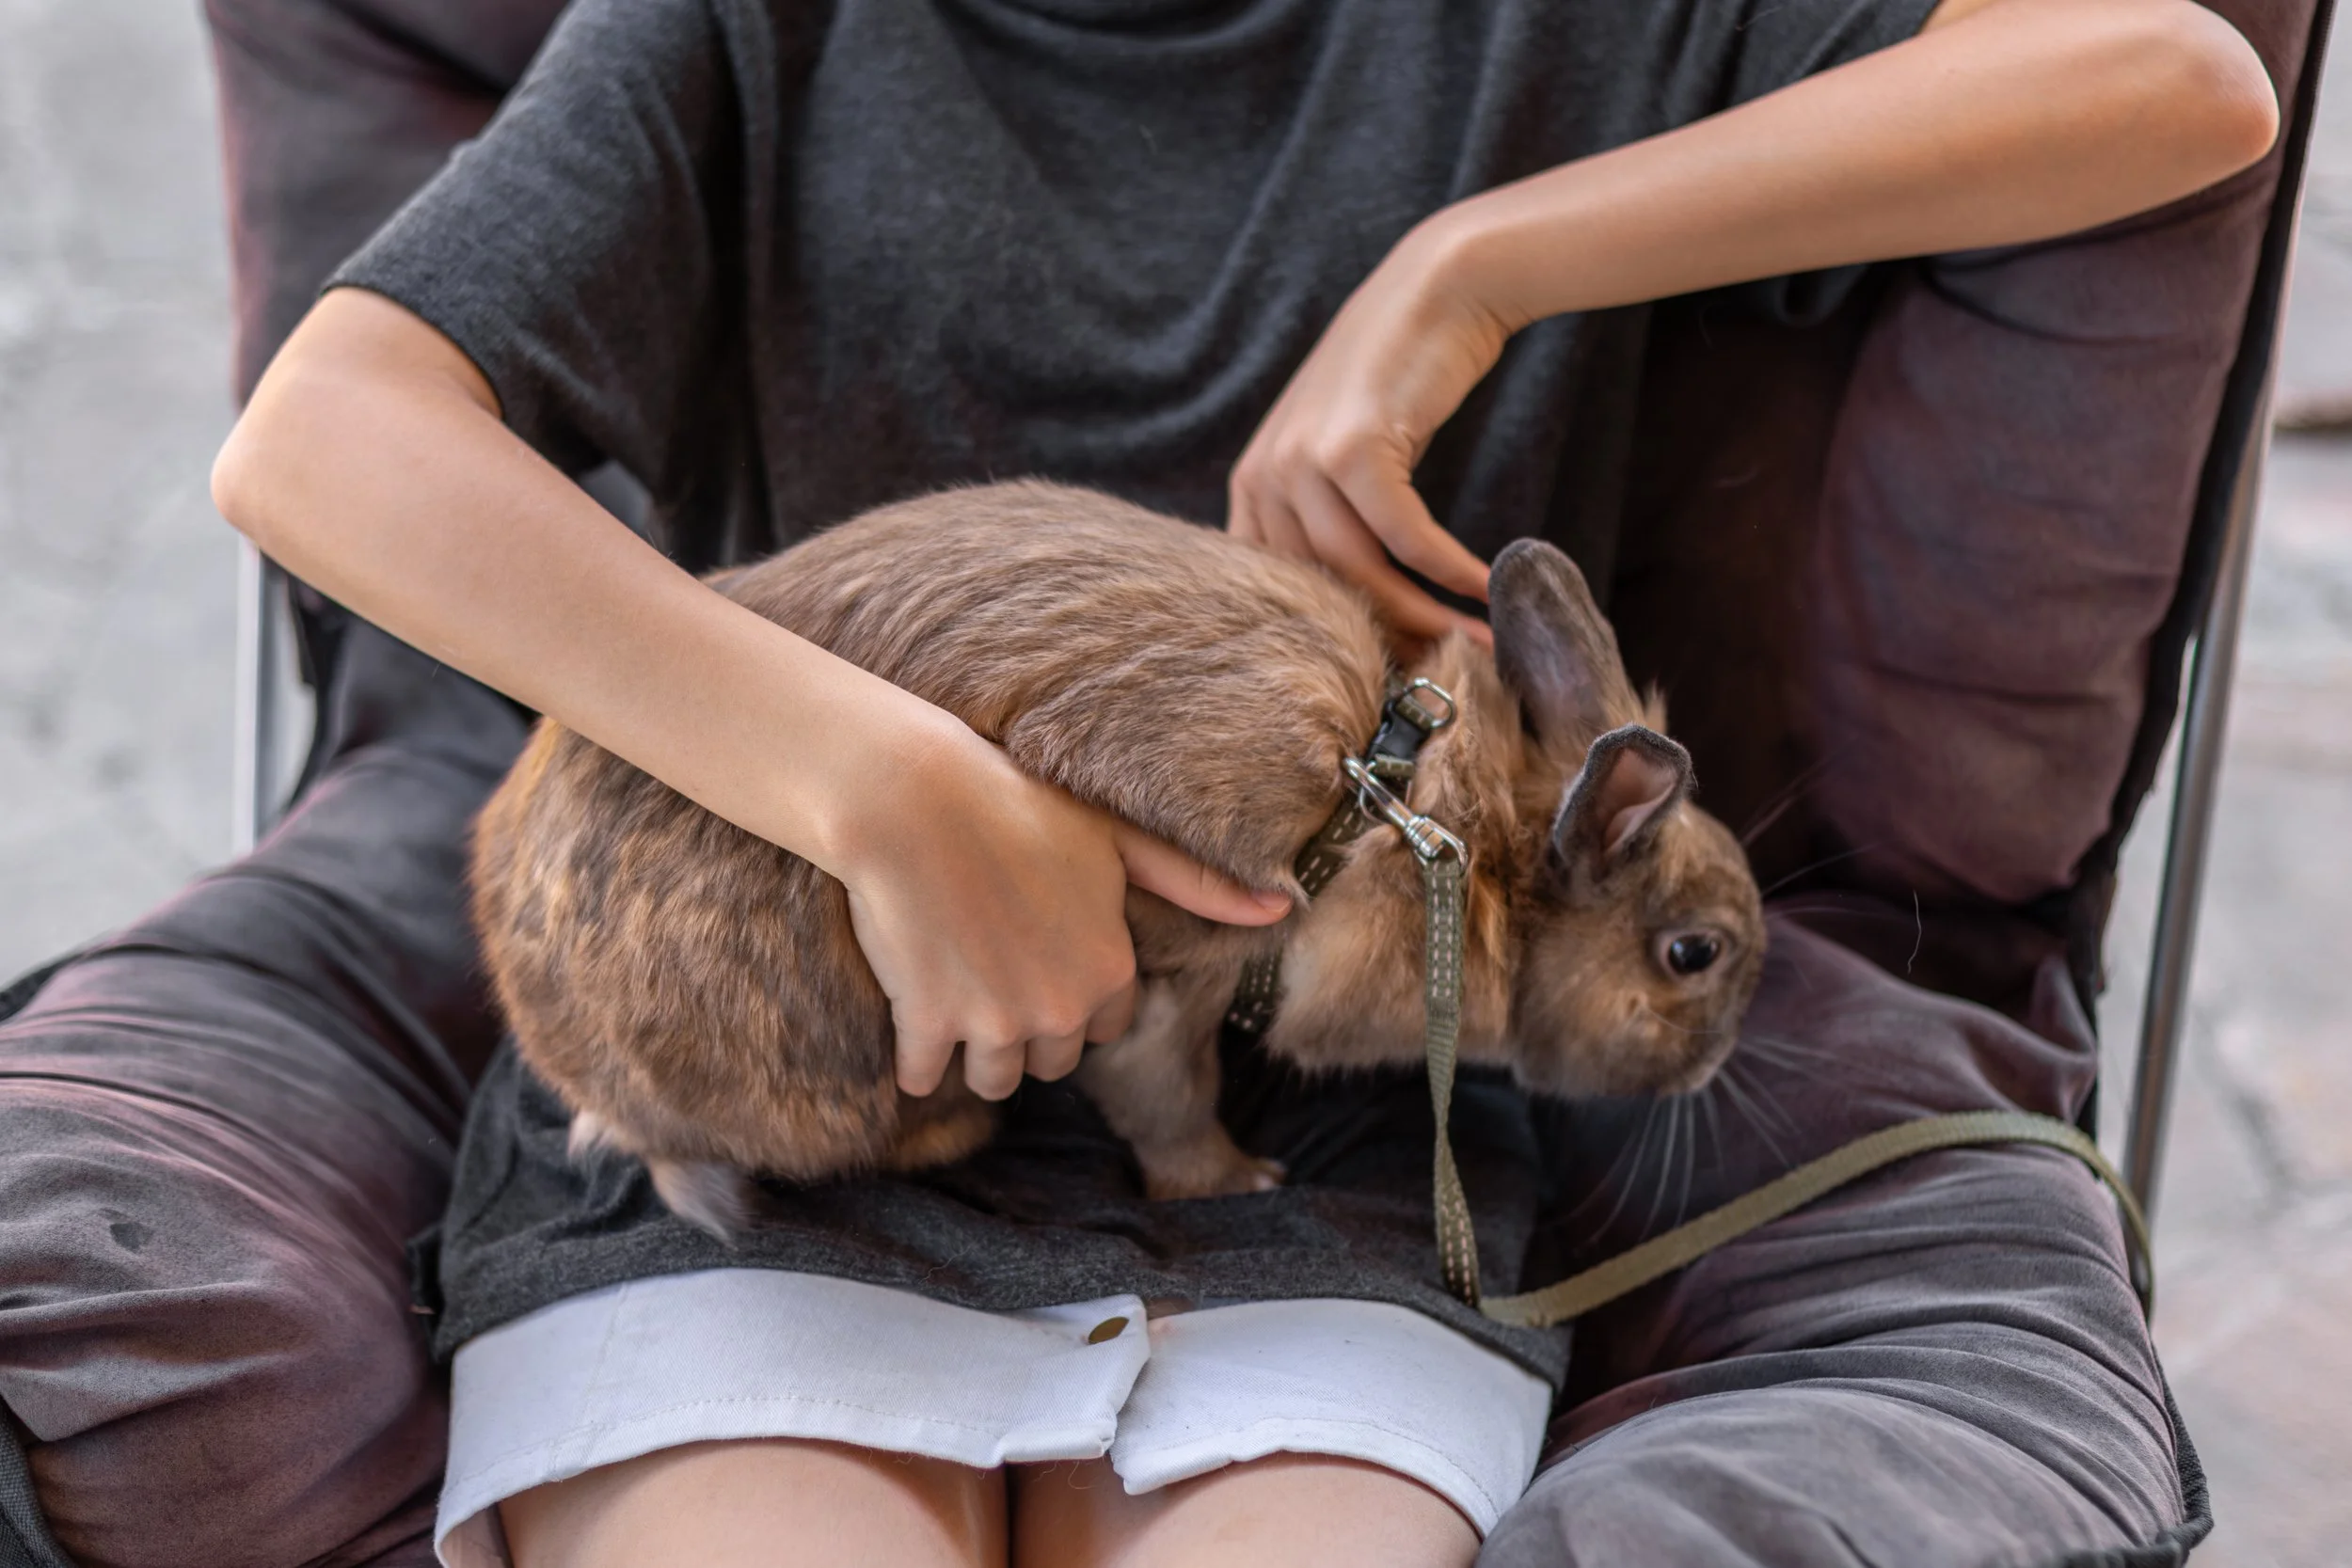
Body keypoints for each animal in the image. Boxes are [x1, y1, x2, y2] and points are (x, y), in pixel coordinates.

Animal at [470, 480, 1766, 1235]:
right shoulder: (1165, 999)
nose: (1715, 1071)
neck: (1411, 822)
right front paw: (1237, 1181)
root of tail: (569, 1058)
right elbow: (1167, 1106)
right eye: (1691, 953)